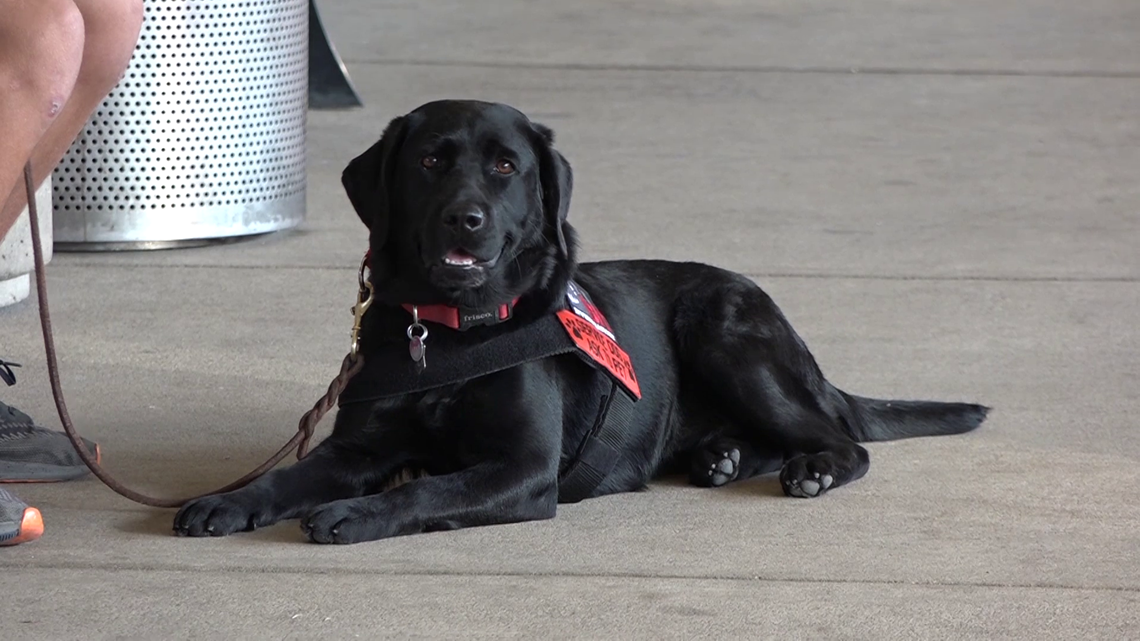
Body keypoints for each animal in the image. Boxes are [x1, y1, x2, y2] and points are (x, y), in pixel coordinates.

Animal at [173, 100, 984, 542]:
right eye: (431, 161)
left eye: (506, 167)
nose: (465, 219)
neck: (452, 332)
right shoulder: (356, 448)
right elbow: (287, 476)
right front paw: (226, 500)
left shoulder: (525, 468)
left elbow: (424, 489)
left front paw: (353, 513)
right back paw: (721, 457)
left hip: (723, 329)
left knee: (837, 437)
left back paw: (809, 467)